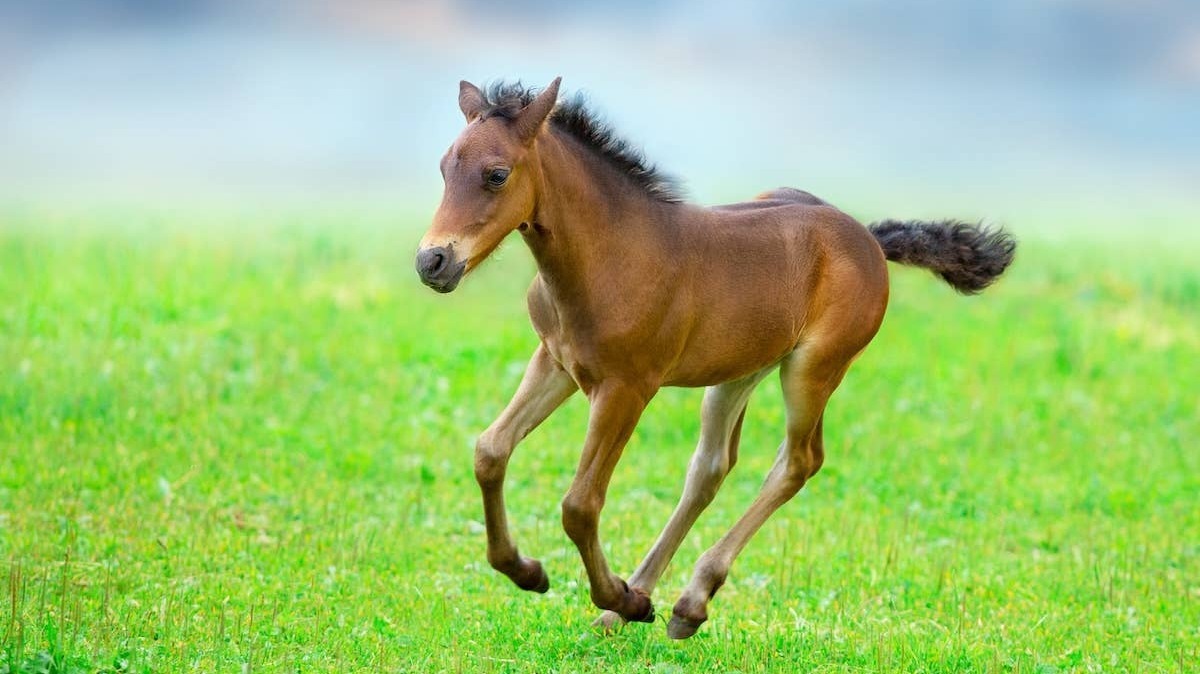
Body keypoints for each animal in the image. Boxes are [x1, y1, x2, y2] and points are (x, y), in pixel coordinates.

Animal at [415, 77, 1015, 639]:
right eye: (444, 168)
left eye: (497, 174)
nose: (432, 262)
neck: (611, 253)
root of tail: (867, 237)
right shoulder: (556, 363)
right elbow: (490, 450)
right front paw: (529, 572)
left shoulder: (627, 388)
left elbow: (580, 504)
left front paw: (616, 597)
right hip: (738, 372)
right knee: (710, 468)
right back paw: (655, 602)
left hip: (814, 369)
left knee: (798, 461)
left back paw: (684, 601)